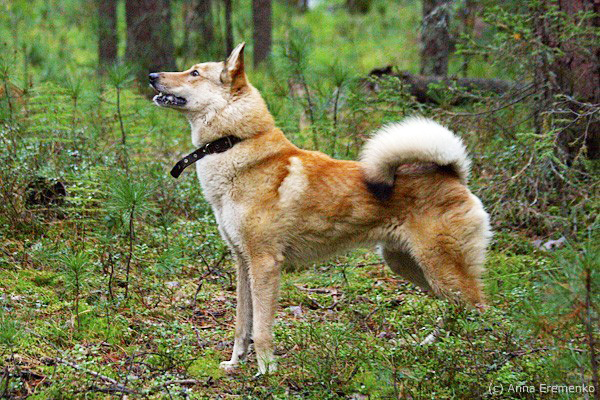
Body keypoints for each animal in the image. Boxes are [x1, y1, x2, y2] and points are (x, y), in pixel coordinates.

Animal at [149, 42, 491, 375]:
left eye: (194, 73)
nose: (152, 75)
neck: (234, 143)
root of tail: (452, 173)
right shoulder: (242, 261)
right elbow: (241, 325)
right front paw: (235, 363)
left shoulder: (264, 263)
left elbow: (260, 328)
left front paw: (266, 371)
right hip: (409, 265)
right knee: (457, 310)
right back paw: (433, 347)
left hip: (440, 269)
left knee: (481, 310)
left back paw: (481, 359)